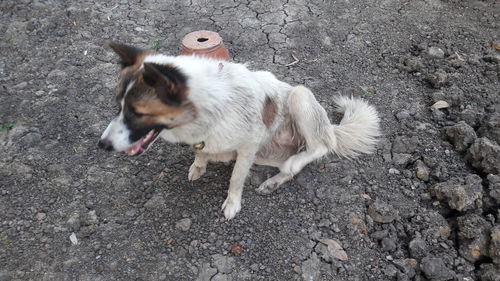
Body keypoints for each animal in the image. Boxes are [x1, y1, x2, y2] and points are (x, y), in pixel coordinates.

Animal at [96, 42, 378, 220]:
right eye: (119, 106)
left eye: (137, 112)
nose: (102, 145)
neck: (211, 109)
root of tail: (330, 128)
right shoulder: (210, 140)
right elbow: (201, 151)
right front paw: (199, 164)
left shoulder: (248, 147)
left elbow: (235, 179)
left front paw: (232, 203)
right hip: (266, 155)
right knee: (292, 168)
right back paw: (273, 182)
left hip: (299, 96)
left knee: (319, 148)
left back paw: (295, 161)